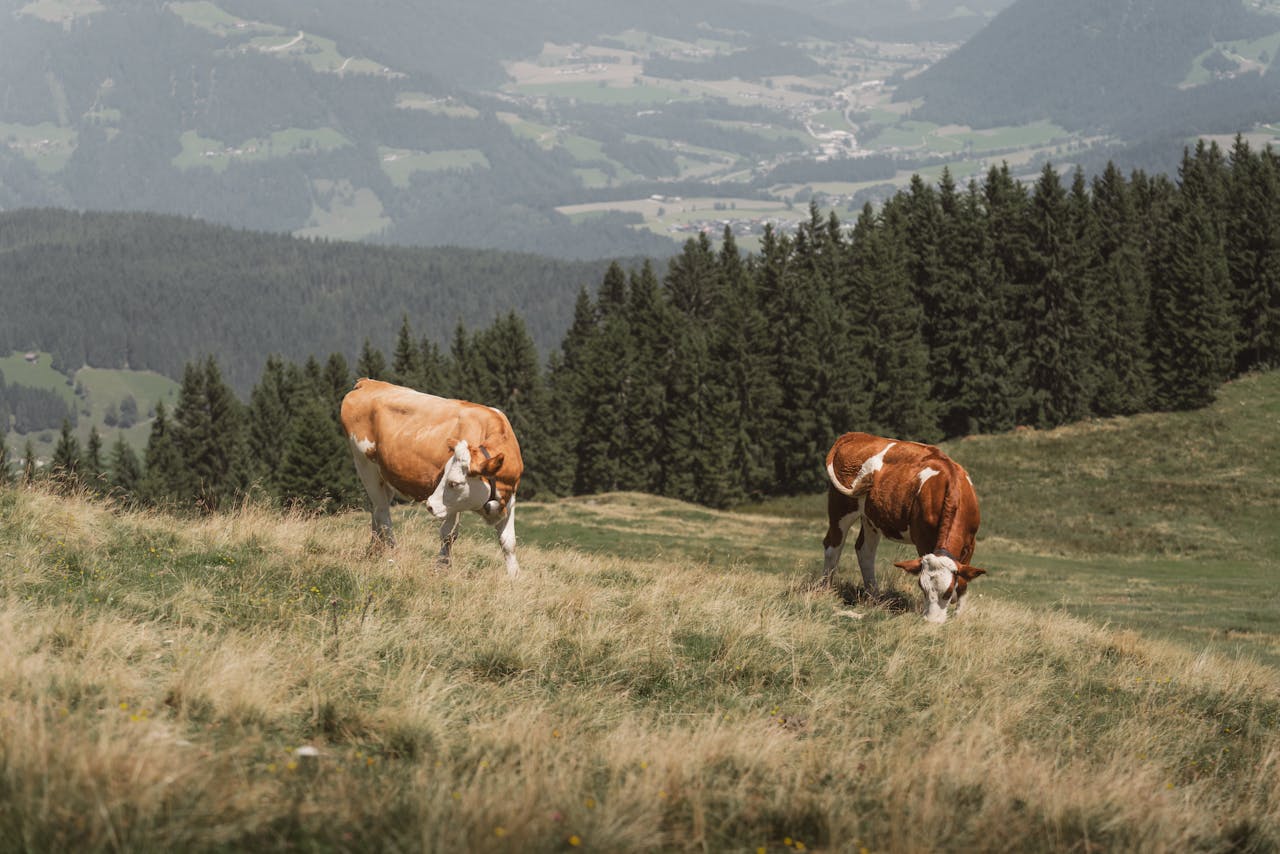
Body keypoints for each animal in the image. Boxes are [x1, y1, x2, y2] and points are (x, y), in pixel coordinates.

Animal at [339, 378, 524, 577]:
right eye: (443, 477)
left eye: (454, 483)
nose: (429, 505)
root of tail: (368, 382)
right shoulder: (452, 506)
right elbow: (448, 534)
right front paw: (441, 568)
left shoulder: (510, 497)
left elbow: (508, 542)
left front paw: (514, 577)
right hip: (365, 465)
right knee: (382, 513)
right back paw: (393, 555)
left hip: (384, 477)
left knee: (376, 511)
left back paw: (374, 553)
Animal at [822, 432, 985, 623]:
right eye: (922, 588)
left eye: (948, 591)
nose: (932, 622)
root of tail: (857, 435)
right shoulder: (923, 539)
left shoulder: (971, 543)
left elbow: (964, 583)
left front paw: (959, 616)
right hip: (841, 507)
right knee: (833, 546)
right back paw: (825, 590)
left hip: (871, 519)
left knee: (865, 551)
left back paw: (874, 597)